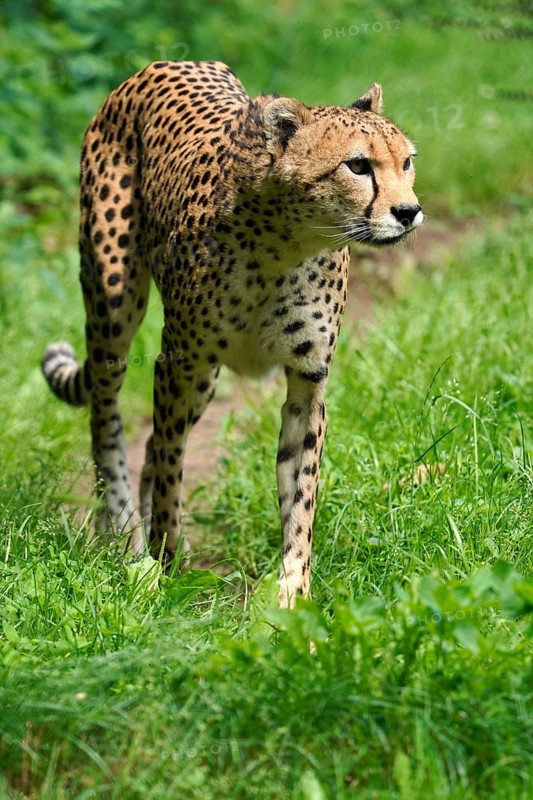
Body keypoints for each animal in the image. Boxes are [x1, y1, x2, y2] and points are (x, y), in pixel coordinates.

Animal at [42, 60, 423, 608]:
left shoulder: (307, 381)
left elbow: (301, 491)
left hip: (205, 382)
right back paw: (123, 531)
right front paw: (165, 568)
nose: (408, 212)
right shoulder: (177, 362)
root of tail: (162, 65)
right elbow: (172, 470)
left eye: (407, 162)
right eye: (358, 166)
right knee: (108, 419)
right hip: (115, 309)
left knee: (150, 444)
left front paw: (293, 590)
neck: (286, 244)